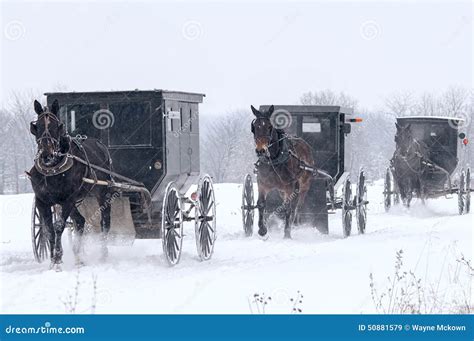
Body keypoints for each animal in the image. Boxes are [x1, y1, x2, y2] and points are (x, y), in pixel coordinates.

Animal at [28, 99, 114, 270]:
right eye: (37, 126)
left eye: (57, 126)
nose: (46, 155)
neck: (53, 169)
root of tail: (100, 145)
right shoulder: (42, 201)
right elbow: (48, 229)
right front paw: (53, 260)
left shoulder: (67, 200)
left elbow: (59, 226)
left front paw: (57, 259)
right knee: (80, 221)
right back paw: (79, 257)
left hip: (102, 193)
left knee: (104, 222)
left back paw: (103, 254)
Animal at [252, 105, 314, 238]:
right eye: (255, 127)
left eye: (269, 127)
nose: (261, 150)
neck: (274, 159)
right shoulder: (262, 184)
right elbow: (261, 204)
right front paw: (262, 229)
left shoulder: (289, 187)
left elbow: (288, 208)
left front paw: (287, 234)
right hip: (282, 190)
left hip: (304, 185)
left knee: (297, 205)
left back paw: (294, 224)